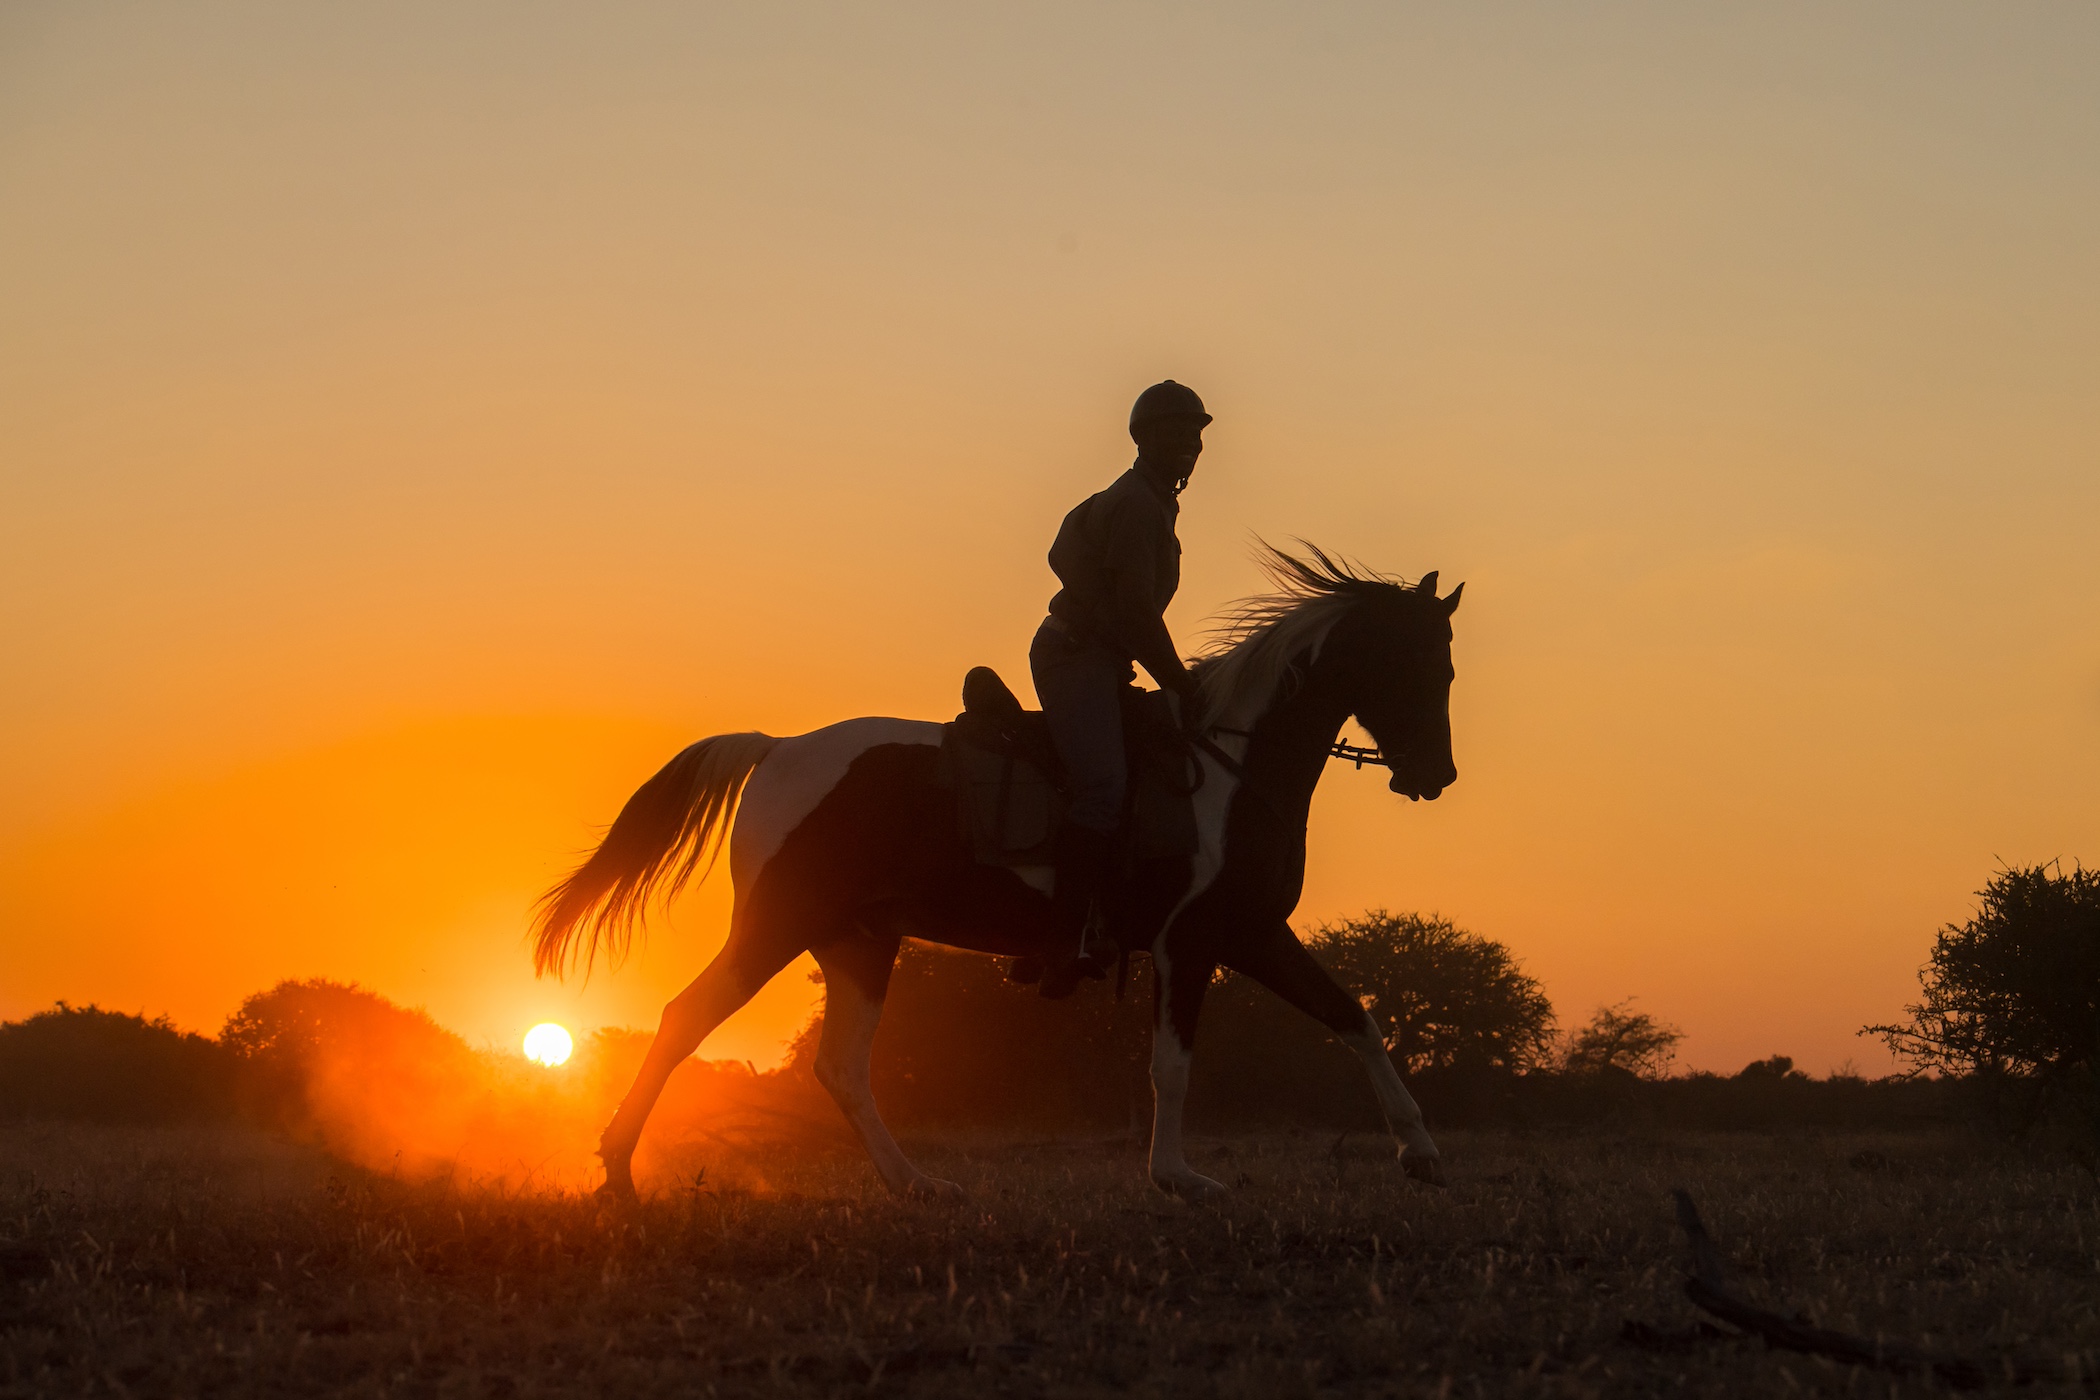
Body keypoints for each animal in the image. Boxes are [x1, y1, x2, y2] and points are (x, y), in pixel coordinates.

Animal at [533, 541, 1469, 1200]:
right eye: (1422, 663)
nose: (1436, 775)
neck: (1230, 769)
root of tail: (780, 749)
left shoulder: (1252, 933)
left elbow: (1354, 1017)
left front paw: (1421, 1153)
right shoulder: (1192, 941)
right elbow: (1172, 1063)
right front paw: (1179, 1178)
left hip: (860, 945)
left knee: (841, 1068)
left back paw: (917, 1185)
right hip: (776, 928)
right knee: (685, 1019)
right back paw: (616, 1171)